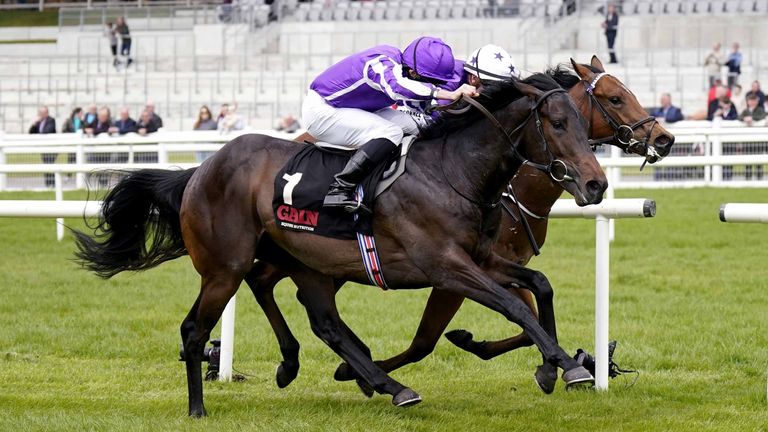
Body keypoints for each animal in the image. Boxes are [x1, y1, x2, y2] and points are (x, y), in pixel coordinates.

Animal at [75, 73, 608, 416]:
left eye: (585, 126)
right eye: (557, 125)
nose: (597, 185)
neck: (453, 171)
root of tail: (199, 170)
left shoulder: (480, 257)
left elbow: (539, 284)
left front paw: (557, 366)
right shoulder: (445, 266)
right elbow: (513, 306)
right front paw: (567, 366)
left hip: (302, 258)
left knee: (321, 320)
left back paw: (371, 380)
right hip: (224, 266)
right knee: (195, 329)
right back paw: (198, 409)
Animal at [243, 57, 676, 394]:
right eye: (615, 98)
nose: (665, 138)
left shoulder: (492, 263)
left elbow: (536, 301)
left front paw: (553, 365)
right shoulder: (449, 271)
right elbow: (428, 340)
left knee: (270, 283)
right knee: (269, 282)